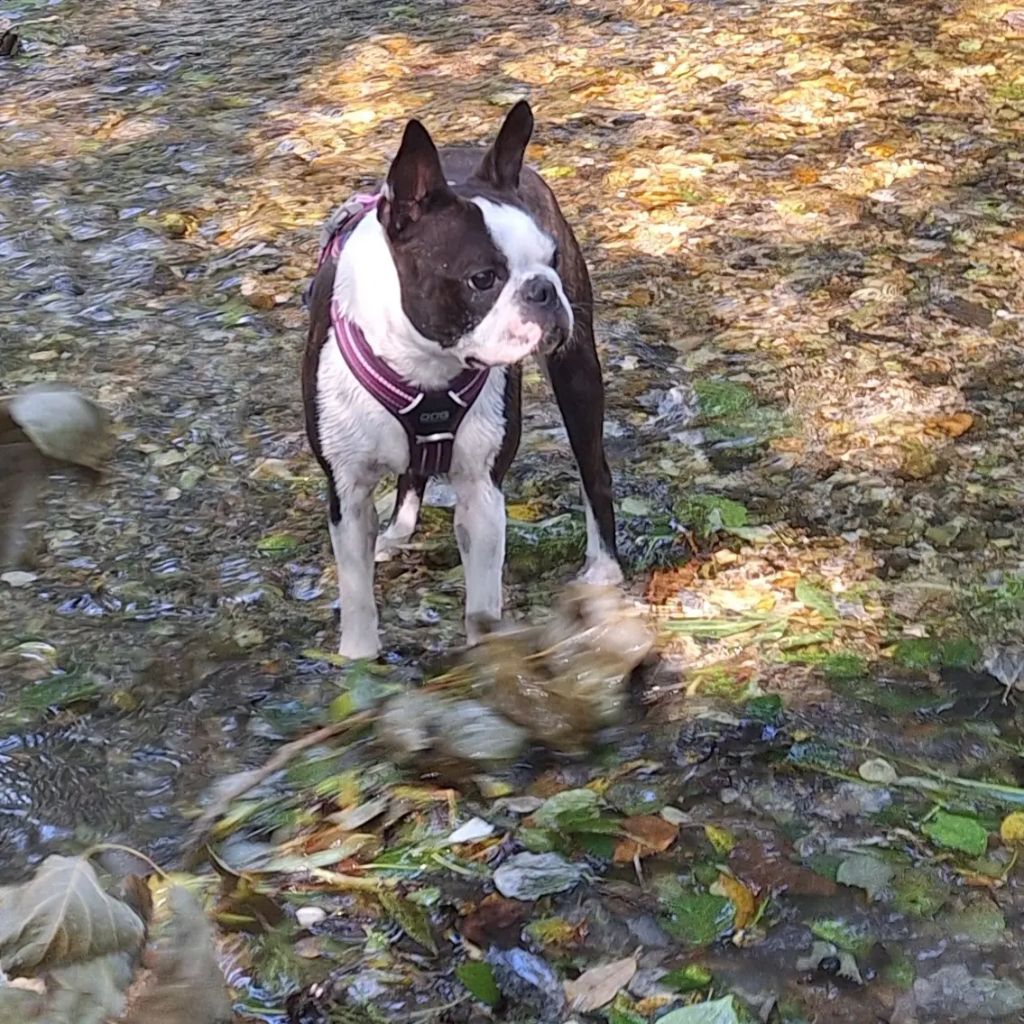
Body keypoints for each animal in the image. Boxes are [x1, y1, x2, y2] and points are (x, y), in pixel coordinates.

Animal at [302, 101, 620, 659]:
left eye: (552, 258)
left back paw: (603, 571)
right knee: (412, 474)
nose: (544, 288)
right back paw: (397, 532)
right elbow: (357, 594)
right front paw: (359, 661)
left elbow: (482, 600)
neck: (427, 365)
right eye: (482, 279)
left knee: (593, 472)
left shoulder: (481, 492)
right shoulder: (347, 491)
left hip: (577, 370)